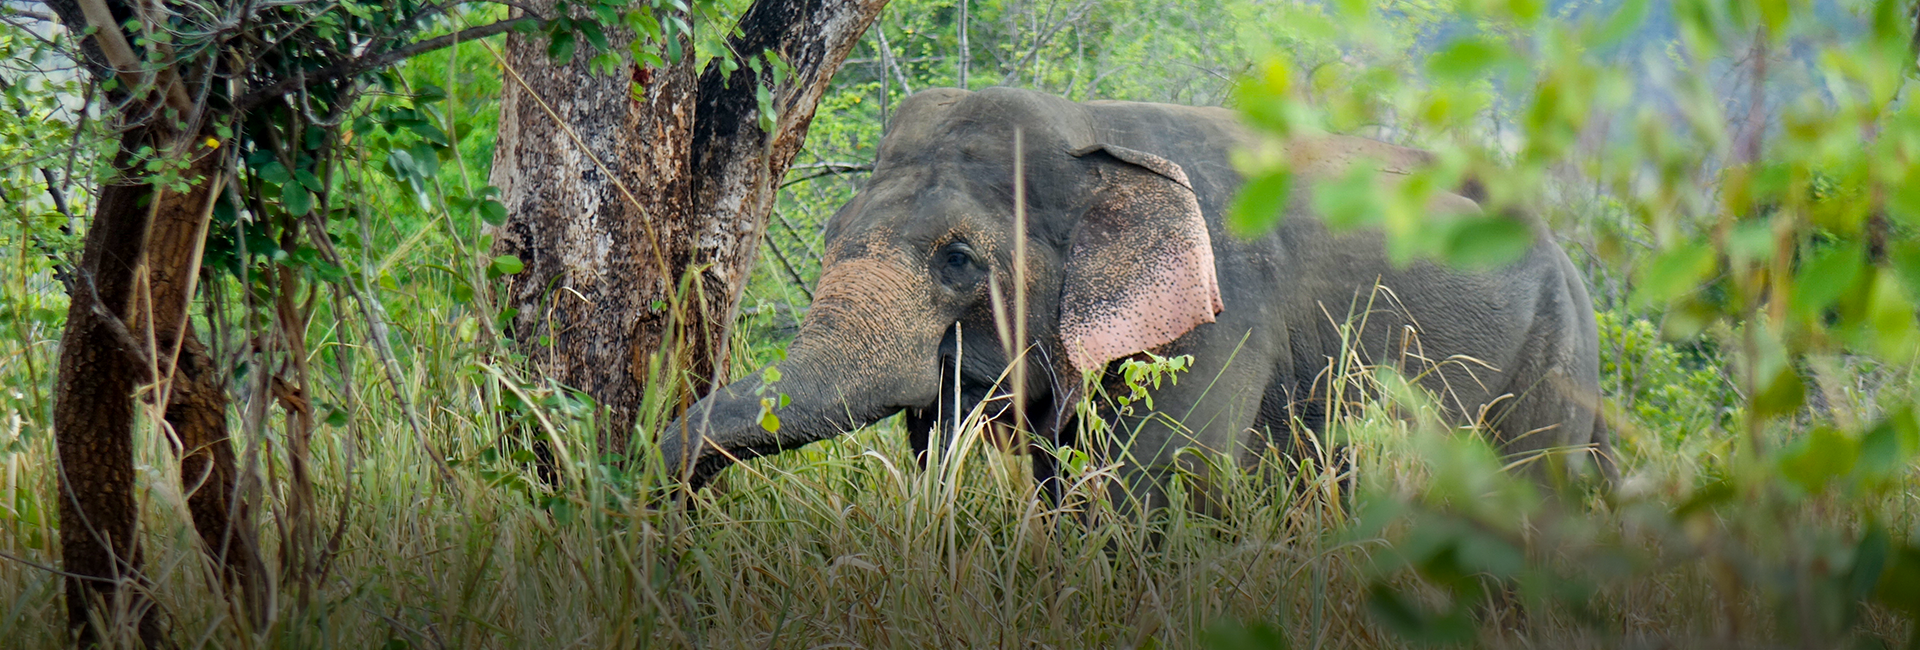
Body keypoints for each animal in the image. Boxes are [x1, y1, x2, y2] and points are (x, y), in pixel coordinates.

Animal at [658, 86, 1615, 508]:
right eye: (826, 239)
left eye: (959, 259)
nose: (651, 482)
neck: (1092, 132)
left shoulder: (1224, 314)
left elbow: (1158, 486)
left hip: (1552, 361)